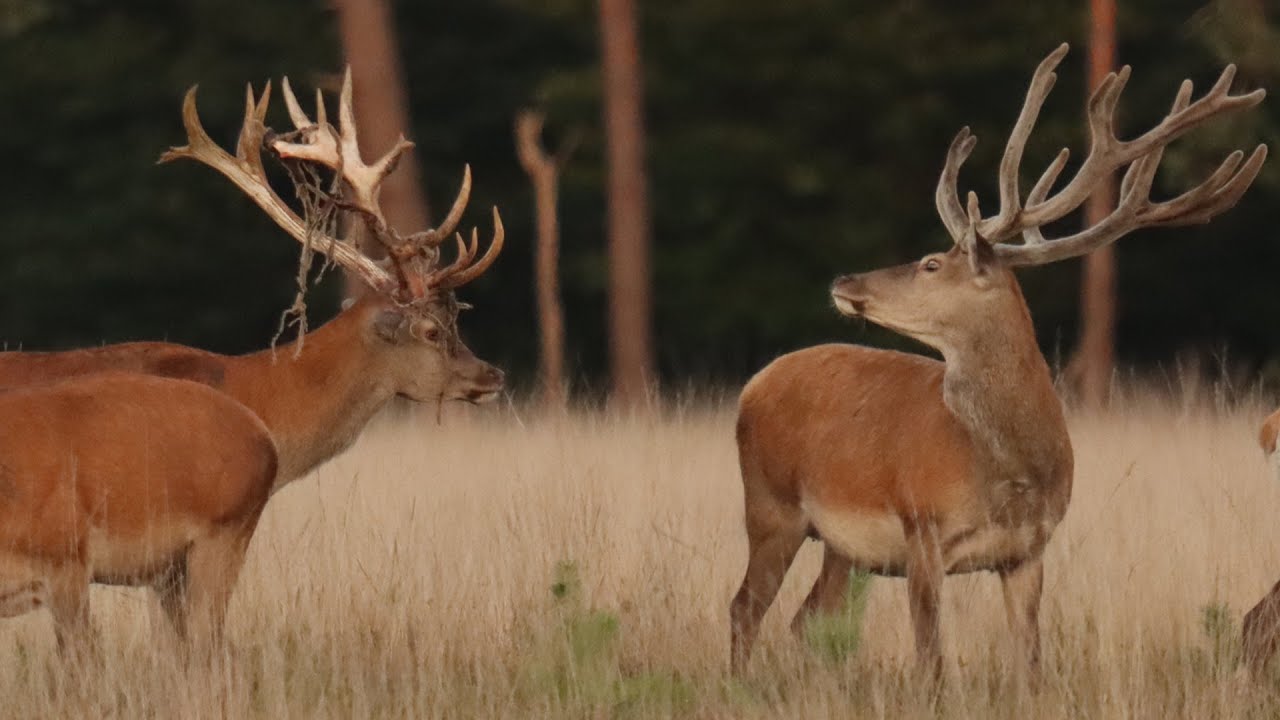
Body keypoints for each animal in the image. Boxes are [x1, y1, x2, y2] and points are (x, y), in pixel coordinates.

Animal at [729, 43, 1267, 681]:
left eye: (931, 263)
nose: (844, 281)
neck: (1007, 469)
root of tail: (756, 381)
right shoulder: (923, 529)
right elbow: (932, 663)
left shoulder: (1029, 552)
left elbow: (1030, 662)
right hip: (770, 505)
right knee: (746, 609)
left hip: (838, 544)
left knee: (806, 620)